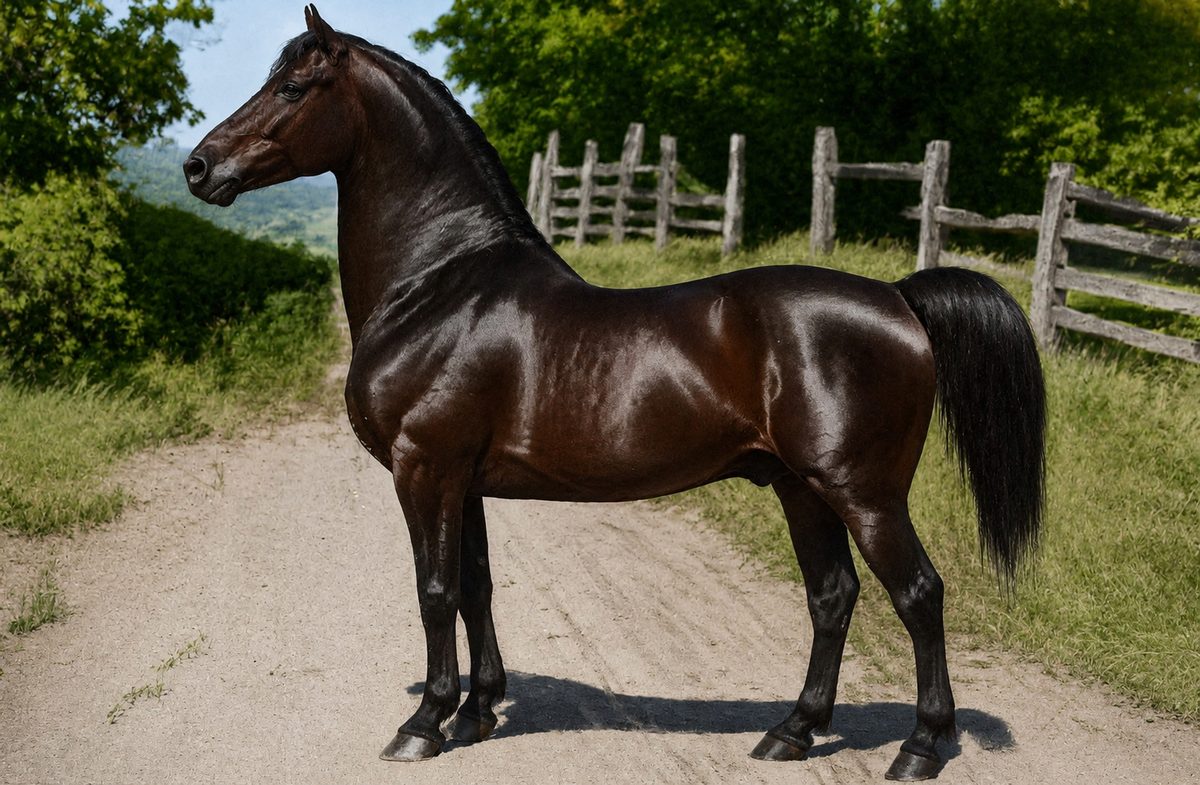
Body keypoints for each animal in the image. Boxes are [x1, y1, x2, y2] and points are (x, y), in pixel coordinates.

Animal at [184, 6, 1045, 780]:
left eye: (294, 86)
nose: (199, 166)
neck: (439, 286)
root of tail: (898, 297)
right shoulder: (464, 479)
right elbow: (475, 587)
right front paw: (478, 711)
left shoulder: (424, 467)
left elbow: (434, 590)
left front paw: (424, 722)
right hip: (802, 487)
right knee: (833, 596)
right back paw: (791, 731)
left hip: (863, 493)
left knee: (919, 594)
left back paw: (920, 746)